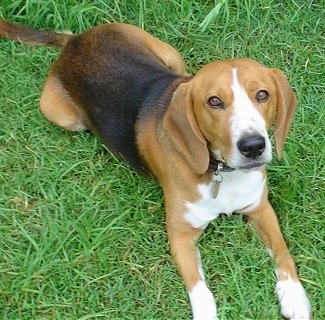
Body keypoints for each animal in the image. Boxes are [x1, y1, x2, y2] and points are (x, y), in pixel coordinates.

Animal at [0, 20, 310, 320]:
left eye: (262, 95)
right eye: (214, 101)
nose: (253, 146)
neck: (222, 172)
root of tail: (74, 41)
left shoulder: (260, 209)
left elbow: (283, 254)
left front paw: (294, 298)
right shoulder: (180, 236)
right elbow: (200, 290)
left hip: (171, 56)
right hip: (63, 116)